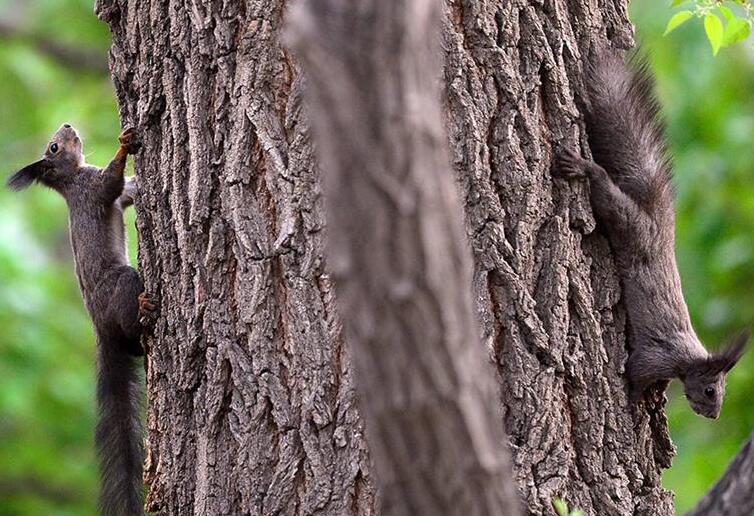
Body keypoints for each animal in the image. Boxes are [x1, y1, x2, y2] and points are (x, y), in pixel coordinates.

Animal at [8, 124, 155, 515]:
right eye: (54, 147)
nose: (68, 126)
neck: (71, 179)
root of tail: (100, 328)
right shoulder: (92, 189)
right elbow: (111, 184)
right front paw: (123, 145)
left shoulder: (108, 194)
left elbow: (127, 192)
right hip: (122, 285)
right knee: (133, 333)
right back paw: (146, 309)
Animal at [554, 51, 748, 419]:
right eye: (711, 389)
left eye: (723, 392)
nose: (713, 414)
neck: (689, 358)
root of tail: (660, 226)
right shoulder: (658, 356)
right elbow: (636, 372)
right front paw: (632, 399)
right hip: (630, 226)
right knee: (606, 192)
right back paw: (585, 169)